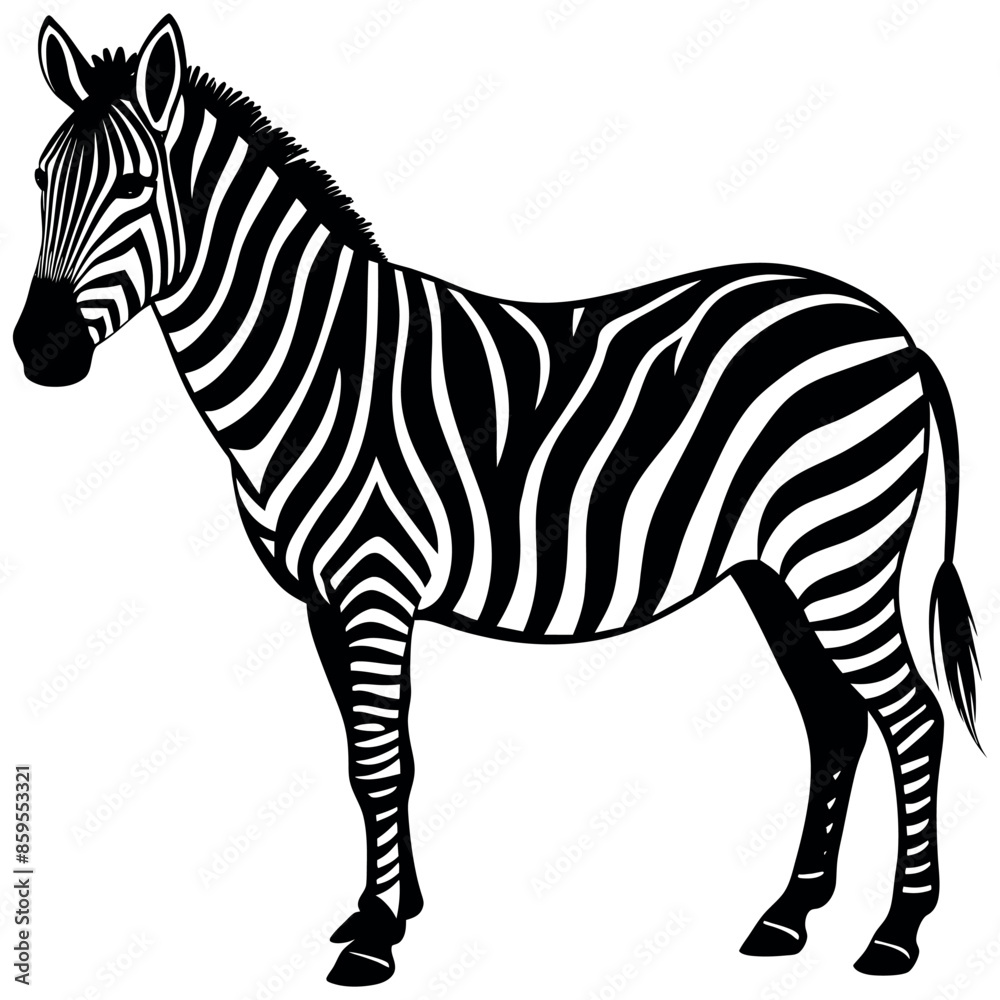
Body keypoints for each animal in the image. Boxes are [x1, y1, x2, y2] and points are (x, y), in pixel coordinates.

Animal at [13, 15, 981, 987]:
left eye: (135, 186)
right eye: (39, 179)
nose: (39, 350)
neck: (317, 362)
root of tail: (891, 328)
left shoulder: (374, 586)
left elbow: (378, 760)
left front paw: (374, 937)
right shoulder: (325, 602)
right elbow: (378, 762)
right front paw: (388, 907)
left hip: (842, 555)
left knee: (913, 719)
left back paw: (897, 933)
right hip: (775, 570)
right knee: (836, 721)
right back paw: (788, 916)